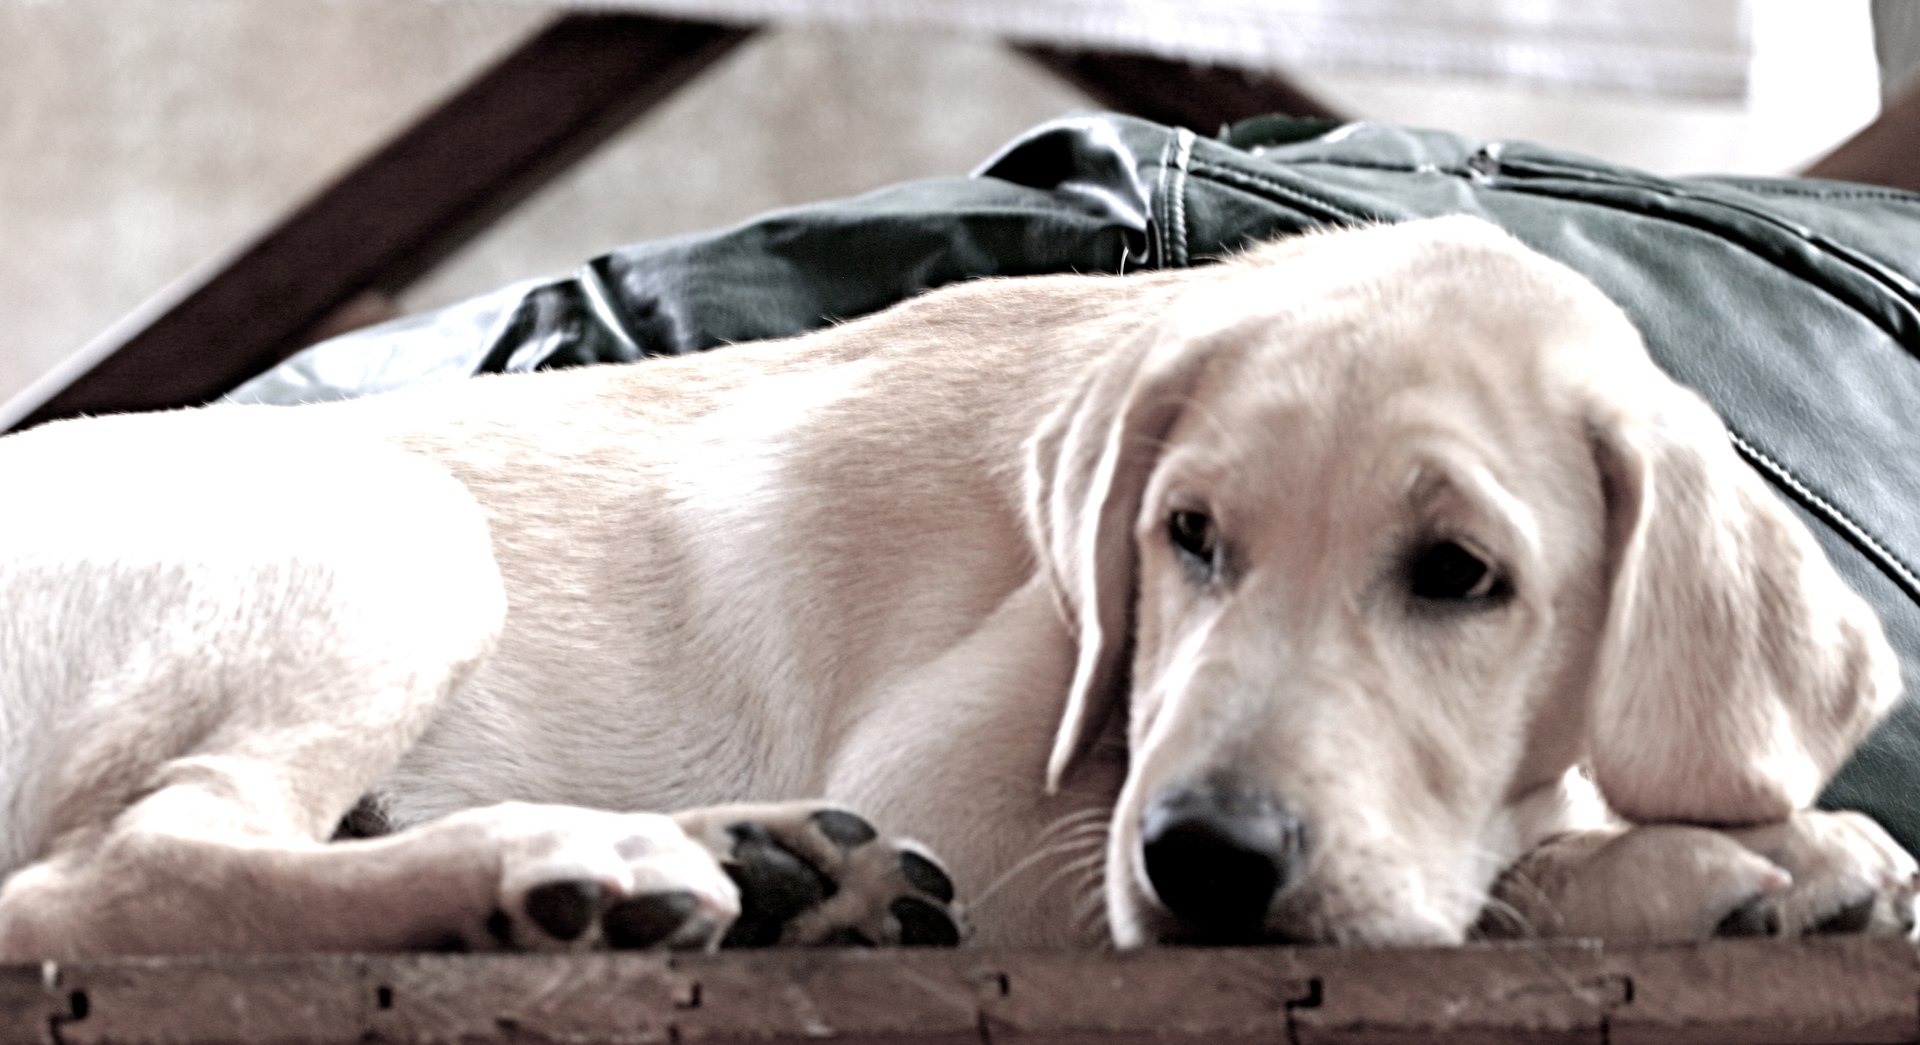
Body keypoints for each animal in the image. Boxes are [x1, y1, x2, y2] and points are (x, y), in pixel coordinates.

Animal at [3, 220, 1920, 964]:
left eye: (1463, 576)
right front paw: (1727, 860)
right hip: (389, 528)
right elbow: (1494, 862)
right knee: (120, 874)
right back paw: (564, 873)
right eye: (1185, 537)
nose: (1203, 862)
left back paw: (773, 871)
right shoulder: (1000, 807)